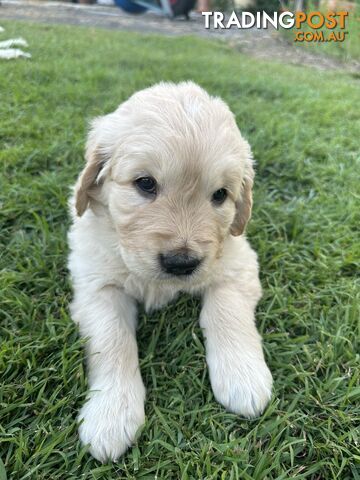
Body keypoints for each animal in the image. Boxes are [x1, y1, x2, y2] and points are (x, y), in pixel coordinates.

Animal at [67, 81, 272, 462]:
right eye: (145, 183)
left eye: (220, 195)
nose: (182, 263)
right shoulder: (96, 284)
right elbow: (112, 340)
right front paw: (111, 416)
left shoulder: (237, 260)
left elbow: (225, 312)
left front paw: (243, 379)